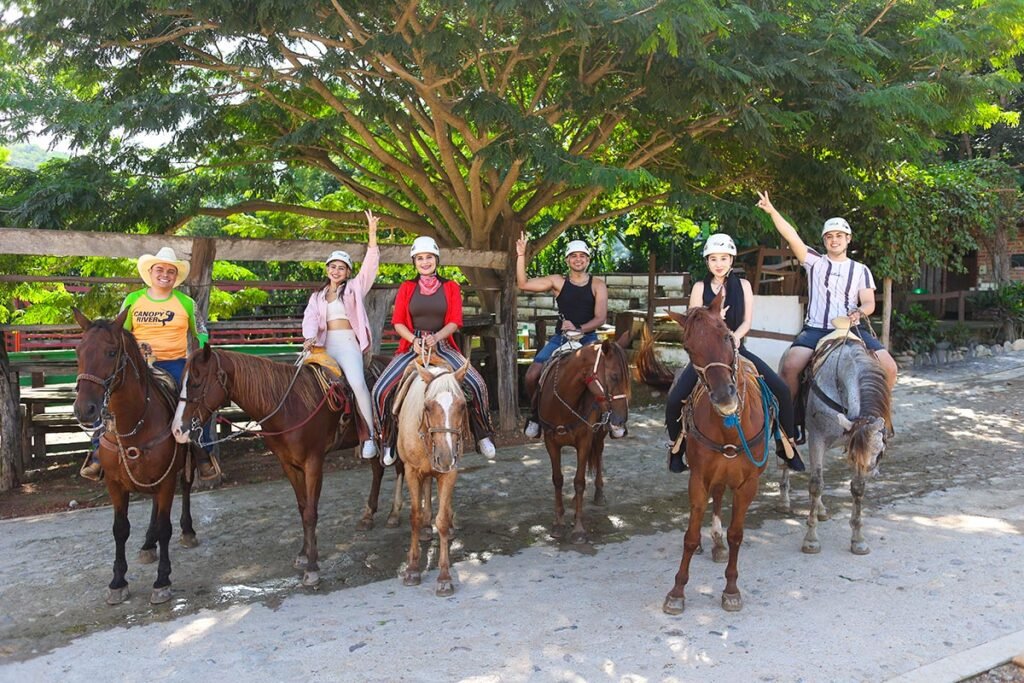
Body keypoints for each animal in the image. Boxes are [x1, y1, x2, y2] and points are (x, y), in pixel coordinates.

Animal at [172, 348, 356, 589]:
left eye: (195, 382)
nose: (177, 430)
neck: (290, 405)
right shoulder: (289, 464)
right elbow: (302, 507)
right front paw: (305, 554)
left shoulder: (314, 463)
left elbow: (310, 513)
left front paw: (312, 567)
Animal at [393, 356, 468, 593]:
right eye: (427, 407)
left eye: (463, 405)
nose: (444, 456)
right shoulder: (411, 471)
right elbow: (415, 516)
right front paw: (412, 568)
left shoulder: (450, 472)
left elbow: (441, 520)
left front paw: (444, 577)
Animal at [536, 331, 630, 544]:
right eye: (614, 376)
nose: (621, 420)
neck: (563, 402)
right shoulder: (551, 443)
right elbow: (557, 479)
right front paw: (558, 523)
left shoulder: (585, 440)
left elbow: (579, 482)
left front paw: (578, 529)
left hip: (599, 435)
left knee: (599, 455)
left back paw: (599, 493)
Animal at [659, 290, 770, 618]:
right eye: (687, 347)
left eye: (725, 335)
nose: (724, 397)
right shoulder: (698, 477)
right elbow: (690, 534)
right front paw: (677, 592)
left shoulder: (748, 485)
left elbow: (737, 535)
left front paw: (731, 590)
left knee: (720, 498)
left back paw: (719, 544)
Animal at [778, 342, 892, 557]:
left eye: (879, 450)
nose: (872, 471)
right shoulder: (817, 439)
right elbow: (816, 485)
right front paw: (811, 539)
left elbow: (857, 488)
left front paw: (858, 540)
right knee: (787, 458)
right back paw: (784, 500)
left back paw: (821, 509)